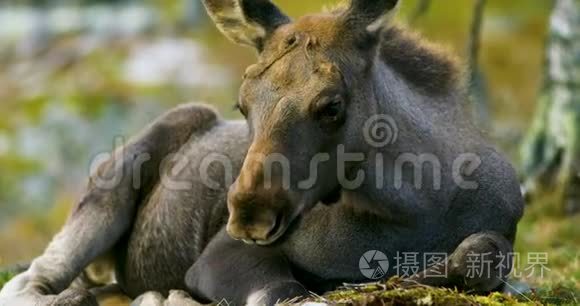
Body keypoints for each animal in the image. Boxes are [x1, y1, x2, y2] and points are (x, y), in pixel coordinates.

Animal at [0, 1, 524, 304]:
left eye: (332, 105)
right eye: (243, 102)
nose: (250, 213)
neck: (410, 214)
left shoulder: (498, 231)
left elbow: (484, 254)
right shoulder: (218, 255)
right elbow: (286, 293)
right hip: (110, 188)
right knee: (33, 280)